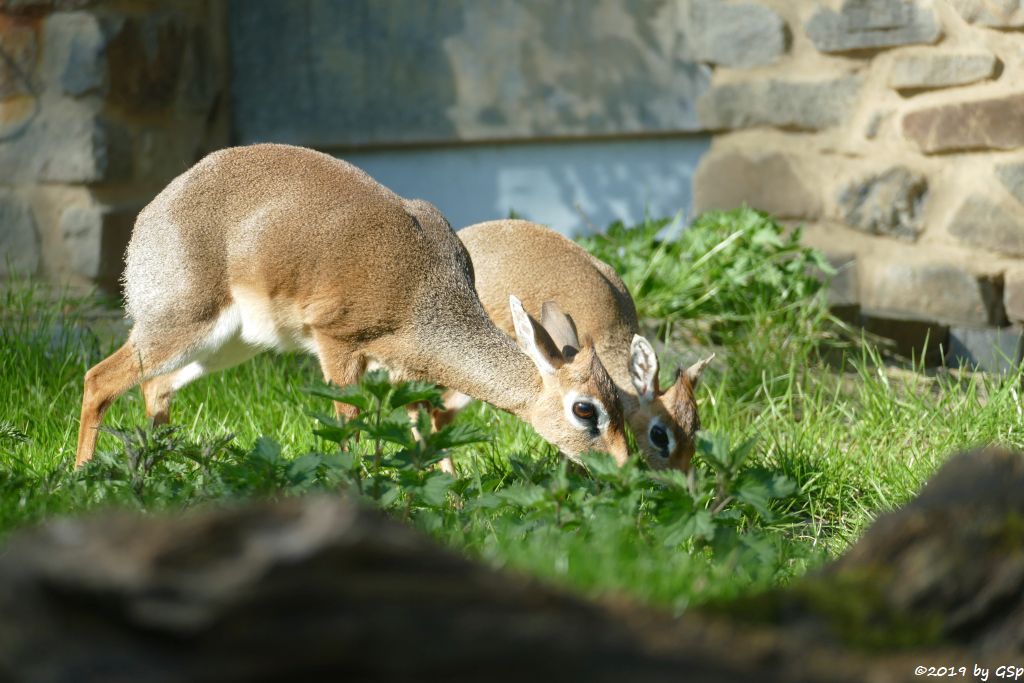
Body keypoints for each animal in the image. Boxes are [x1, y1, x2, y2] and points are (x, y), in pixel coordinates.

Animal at [72, 145, 626, 471]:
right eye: (585, 409)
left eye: (619, 400)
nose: (625, 468)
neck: (424, 291)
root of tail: (151, 213)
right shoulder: (338, 346)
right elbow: (349, 424)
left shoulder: (399, 371)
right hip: (179, 325)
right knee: (99, 379)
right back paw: (80, 476)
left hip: (226, 346)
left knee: (155, 388)